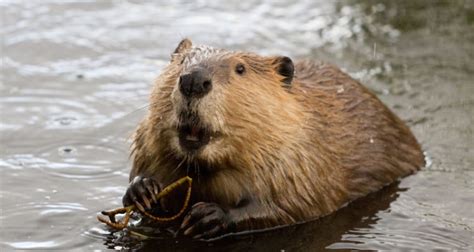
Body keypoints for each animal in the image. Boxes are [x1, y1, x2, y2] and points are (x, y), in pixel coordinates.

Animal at [122, 38, 426, 239]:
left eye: (240, 69)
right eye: (183, 61)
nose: (194, 80)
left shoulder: (301, 159)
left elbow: (294, 206)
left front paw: (208, 216)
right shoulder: (147, 145)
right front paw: (143, 190)